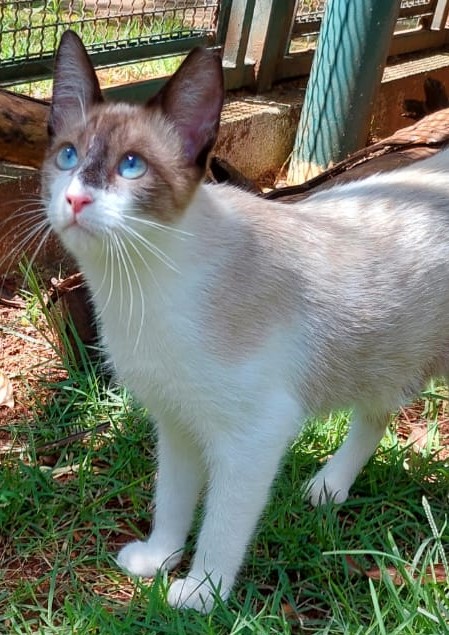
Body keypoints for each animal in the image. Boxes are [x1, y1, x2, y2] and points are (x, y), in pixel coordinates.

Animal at [43, 31, 448, 616]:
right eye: (68, 156)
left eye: (132, 166)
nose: (75, 197)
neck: (137, 285)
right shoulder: (176, 420)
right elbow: (172, 499)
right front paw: (158, 560)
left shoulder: (254, 434)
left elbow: (221, 527)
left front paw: (199, 594)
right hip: (382, 359)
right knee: (376, 415)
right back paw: (329, 488)